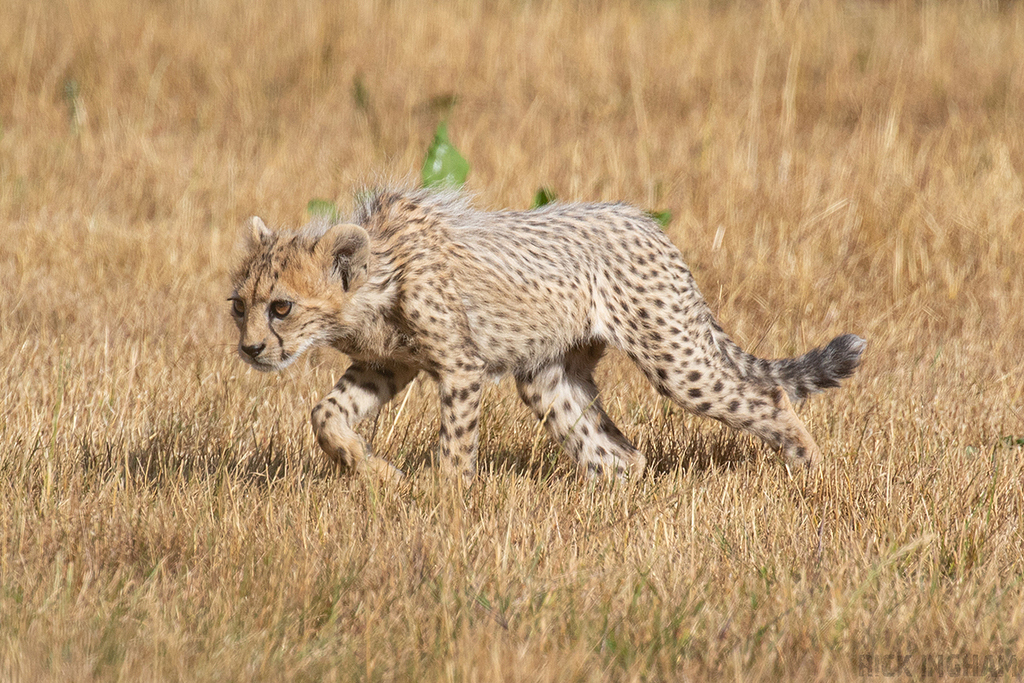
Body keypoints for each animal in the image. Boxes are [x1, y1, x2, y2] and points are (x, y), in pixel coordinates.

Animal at [228, 186, 865, 482]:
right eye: (239, 306)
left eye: (281, 307)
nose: (250, 349)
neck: (377, 277)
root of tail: (645, 221)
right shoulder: (388, 364)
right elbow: (325, 415)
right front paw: (375, 472)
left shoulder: (459, 367)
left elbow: (455, 444)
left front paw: (443, 498)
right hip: (547, 374)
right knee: (620, 452)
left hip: (673, 356)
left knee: (767, 395)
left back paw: (809, 469)